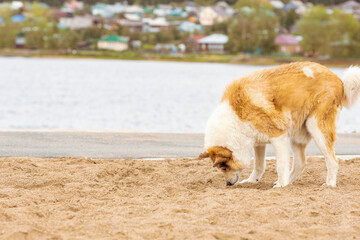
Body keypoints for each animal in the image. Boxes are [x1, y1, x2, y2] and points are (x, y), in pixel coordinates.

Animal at [200, 62, 360, 188]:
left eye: (223, 167)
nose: (228, 184)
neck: (236, 118)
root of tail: (340, 81)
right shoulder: (258, 143)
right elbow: (259, 165)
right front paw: (252, 181)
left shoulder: (279, 137)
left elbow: (281, 164)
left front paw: (281, 185)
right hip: (298, 135)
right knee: (300, 163)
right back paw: (289, 182)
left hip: (316, 128)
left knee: (333, 161)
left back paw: (329, 184)